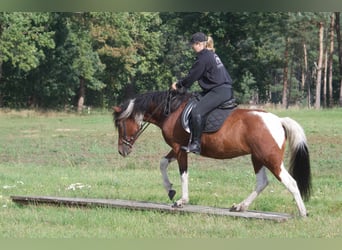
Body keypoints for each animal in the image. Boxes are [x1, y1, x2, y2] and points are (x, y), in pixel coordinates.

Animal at [113, 90, 312, 217]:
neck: (172, 110)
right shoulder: (177, 148)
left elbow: (183, 174)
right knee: (262, 182)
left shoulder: (180, 149)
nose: (122, 151)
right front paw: (169, 189)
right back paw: (240, 206)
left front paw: (181, 201)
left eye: (120, 125)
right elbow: (162, 163)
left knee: (291, 182)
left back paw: (302, 212)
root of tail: (278, 120)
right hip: (257, 157)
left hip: (271, 159)